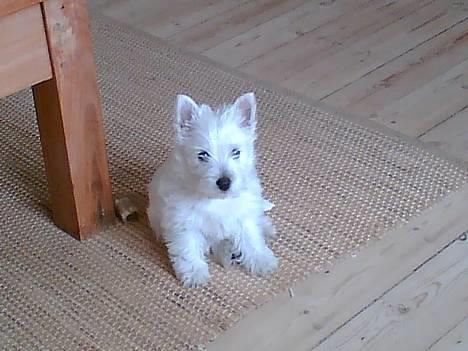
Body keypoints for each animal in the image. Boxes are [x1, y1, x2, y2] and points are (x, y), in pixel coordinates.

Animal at [148, 92, 276, 288]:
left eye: (236, 152)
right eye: (202, 155)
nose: (224, 182)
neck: (216, 200)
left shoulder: (243, 213)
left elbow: (251, 236)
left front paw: (261, 260)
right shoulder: (184, 223)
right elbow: (188, 248)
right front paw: (194, 274)